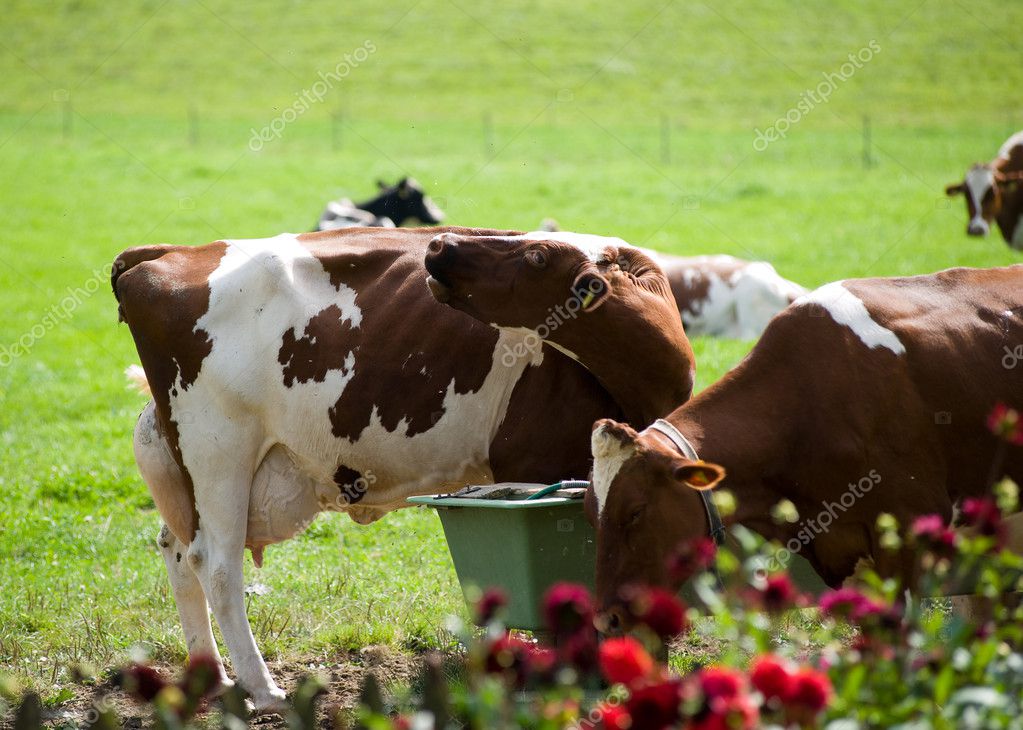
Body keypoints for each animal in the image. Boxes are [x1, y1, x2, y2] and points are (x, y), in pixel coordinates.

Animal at [112, 222, 695, 703]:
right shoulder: (533, 466)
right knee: (216, 565)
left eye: (535, 254)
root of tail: (175, 252)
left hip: (181, 467)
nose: (439, 245)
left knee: (176, 550)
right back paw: (263, 688)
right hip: (219, 451)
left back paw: (212, 676)